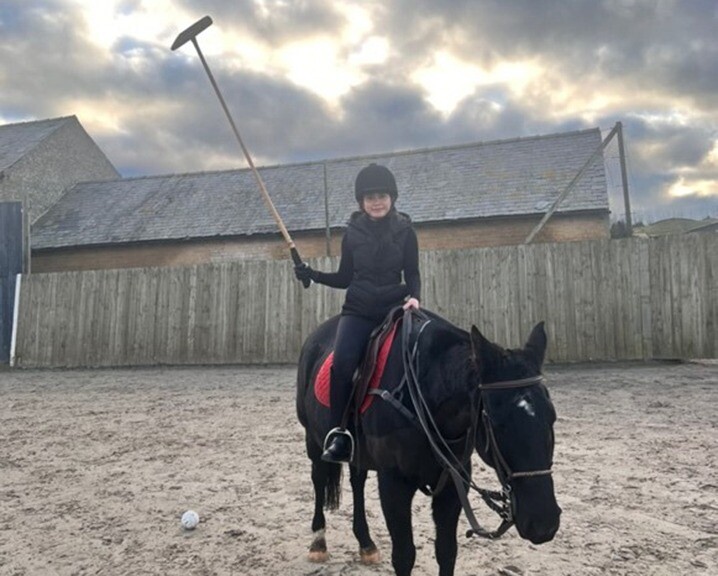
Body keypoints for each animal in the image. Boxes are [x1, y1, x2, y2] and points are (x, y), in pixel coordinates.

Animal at [296, 310, 564, 576]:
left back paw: (366, 544)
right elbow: (404, 556)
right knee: (319, 479)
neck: (423, 396)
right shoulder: (394, 484)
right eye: (497, 423)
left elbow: (446, 551)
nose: (543, 522)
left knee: (357, 481)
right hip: (313, 439)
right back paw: (318, 542)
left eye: (552, 416)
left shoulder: (453, 484)